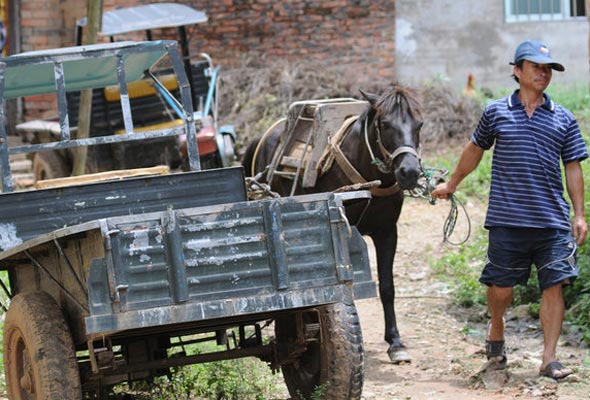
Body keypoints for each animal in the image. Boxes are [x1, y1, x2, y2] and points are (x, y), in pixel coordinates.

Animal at [242, 83, 426, 362]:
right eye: (384, 124)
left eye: (420, 124)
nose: (410, 172)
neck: (368, 177)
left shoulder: (387, 232)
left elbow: (387, 287)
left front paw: (396, 342)